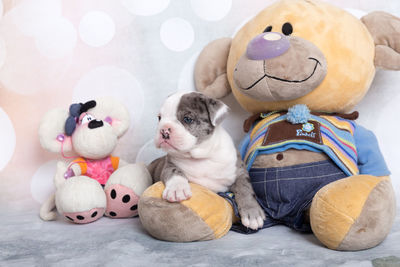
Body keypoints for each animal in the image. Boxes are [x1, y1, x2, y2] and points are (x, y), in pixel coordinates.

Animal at [149, 92, 266, 230]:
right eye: (159, 118)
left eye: (187, 119)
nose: (164, 130)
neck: (201, 154)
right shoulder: (169, 164)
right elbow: (174, 172)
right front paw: (177, 189)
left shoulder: (239, 172)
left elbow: (245, 189)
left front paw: (252, 213)